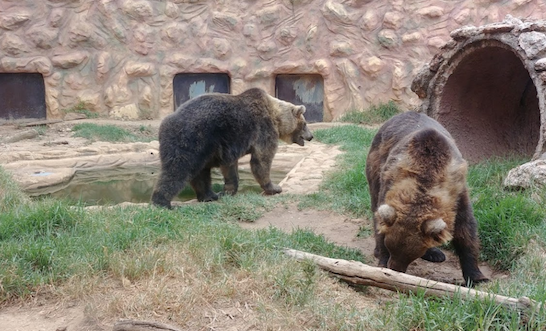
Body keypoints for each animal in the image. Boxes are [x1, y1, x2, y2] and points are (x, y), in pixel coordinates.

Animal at [151, 87, 312, 209]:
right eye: (305, 123)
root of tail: (165, 123)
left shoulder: (228, 146)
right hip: (191, 138)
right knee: (177, 170)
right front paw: (275, 187)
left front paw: (227, 191)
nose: (311, 136)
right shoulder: (263, 129)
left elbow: (230, 168)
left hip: (203, 147)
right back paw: (162, 202)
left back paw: (209, 196)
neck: (276, 117)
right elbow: (262, 160)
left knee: (201, 173)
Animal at [364, 111, 486, 286]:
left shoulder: (458, 192)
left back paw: (436, 254)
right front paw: (382, 259)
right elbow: (380, 218)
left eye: (410, 255)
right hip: (375, 163)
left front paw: (477, 277)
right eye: (391, 247)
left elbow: (466, 229)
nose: (395, 268)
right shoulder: (388, 181)